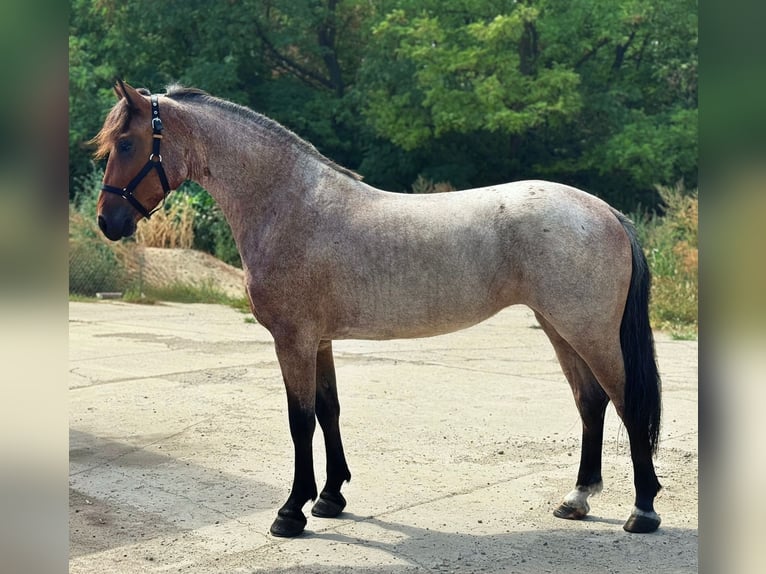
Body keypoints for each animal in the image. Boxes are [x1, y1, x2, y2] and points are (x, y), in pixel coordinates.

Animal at [93, 81, 662, 537]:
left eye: (127, 143)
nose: (106, 222)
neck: (290, 205)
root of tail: (606, 211)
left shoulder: (293, 339)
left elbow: (300, 421)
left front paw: (291, 512)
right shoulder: (318, 340)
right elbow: (328, 411)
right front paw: (330, 499)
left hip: (588, 332)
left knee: (627, 404)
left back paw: (643, 511)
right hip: (560, 328)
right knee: (590, 403)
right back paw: (577, 499)